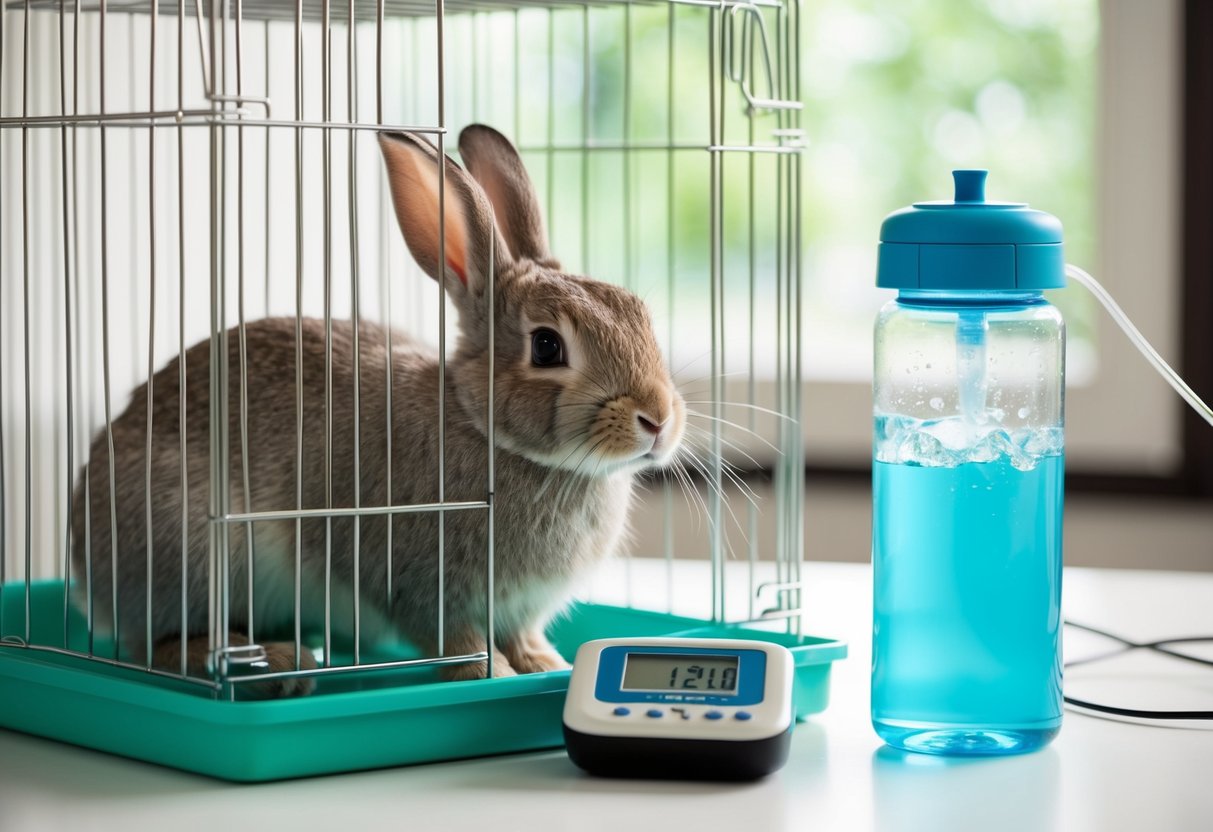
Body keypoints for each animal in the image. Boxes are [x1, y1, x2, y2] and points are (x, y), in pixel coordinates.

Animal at [70, 124, 686, 697]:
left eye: (638, 313)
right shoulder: (419, 583)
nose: (658, 419)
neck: (488, 429)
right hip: (190, 550)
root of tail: (84, 561)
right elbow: (454, 638)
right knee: (165, 645)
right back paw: (279, 666)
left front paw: (544, 664)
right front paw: (484, 672)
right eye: (547, 347)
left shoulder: (517, 608)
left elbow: (521, 636)